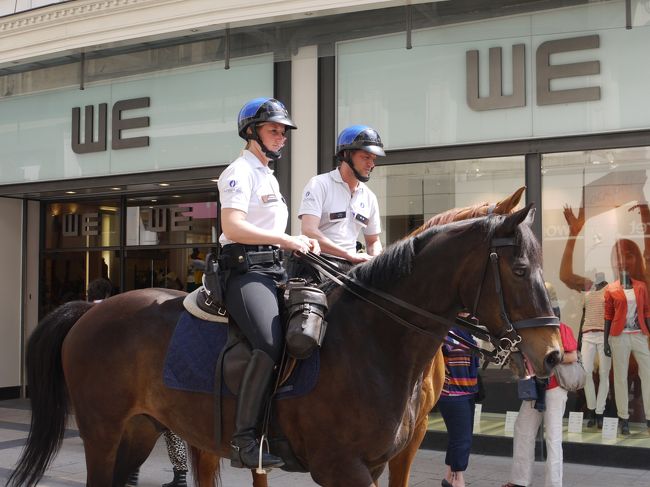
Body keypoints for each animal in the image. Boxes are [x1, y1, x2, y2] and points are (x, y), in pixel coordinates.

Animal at [9, 203, 561, 487]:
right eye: (519, 269)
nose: (554, 352)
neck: (376, 342)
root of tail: (92, 309)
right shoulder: (342, 468)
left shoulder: (382, 460)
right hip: (103, 432)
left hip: (142, 429)